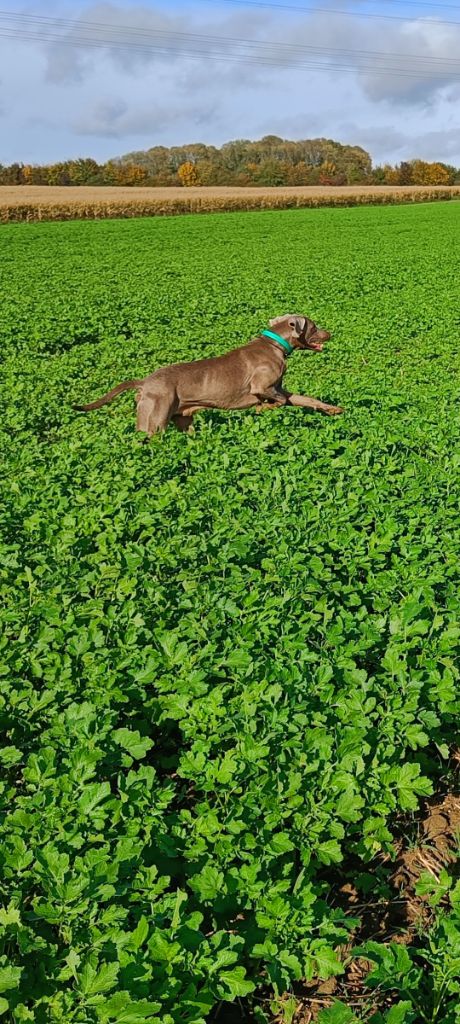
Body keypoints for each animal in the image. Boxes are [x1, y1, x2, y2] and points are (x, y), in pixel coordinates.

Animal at [73, 315, 342, 436]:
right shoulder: (262, 387)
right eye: (314, 326)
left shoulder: (278, 387)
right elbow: (279, 401)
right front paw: (261, 409)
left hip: (179, 419)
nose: (330, 333)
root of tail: (146, 381)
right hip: (155, 420)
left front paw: (333, 409)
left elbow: (304, 399)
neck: (275, 344)